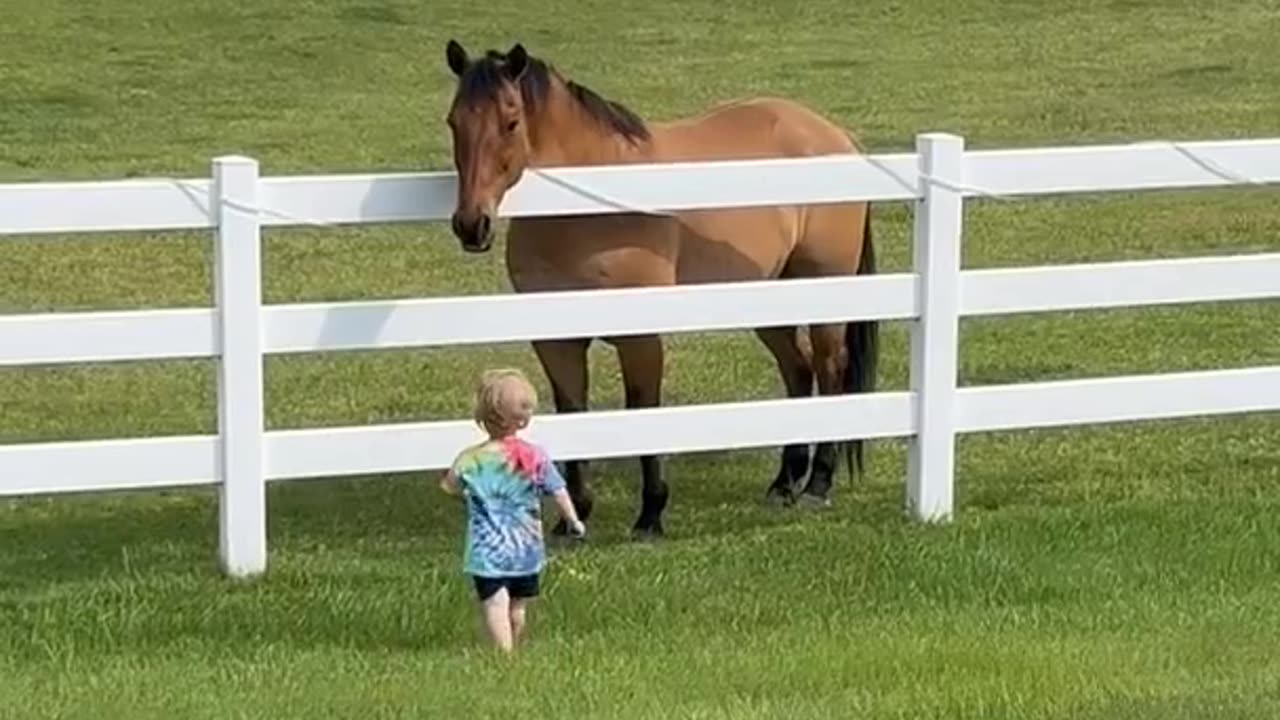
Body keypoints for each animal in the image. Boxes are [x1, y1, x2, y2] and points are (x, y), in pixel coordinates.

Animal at [441, 40, 878, 539]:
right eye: (454, 122)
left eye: (511, 121)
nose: (471, 224)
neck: (588, 210)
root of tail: (835, 136)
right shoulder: (557, 341)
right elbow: (573, 412)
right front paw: (574, 517)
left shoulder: (640, 338)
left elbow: (643, 413)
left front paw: (651, 514)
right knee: (799, 371)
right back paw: (784, 482)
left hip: (824, 296)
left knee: (829, 371)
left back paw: (817, 485)